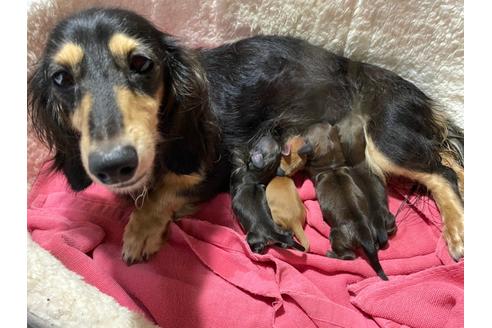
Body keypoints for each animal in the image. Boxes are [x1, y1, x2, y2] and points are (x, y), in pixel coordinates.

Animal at [28, 8, 464, 264]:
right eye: (60, 78)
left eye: (141, 63)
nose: (113, 164)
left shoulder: (212, 165)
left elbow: (163, 191)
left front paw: (141, 231)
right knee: (450, 160)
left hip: (387, 140)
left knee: (443, 173)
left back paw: (457, 232)